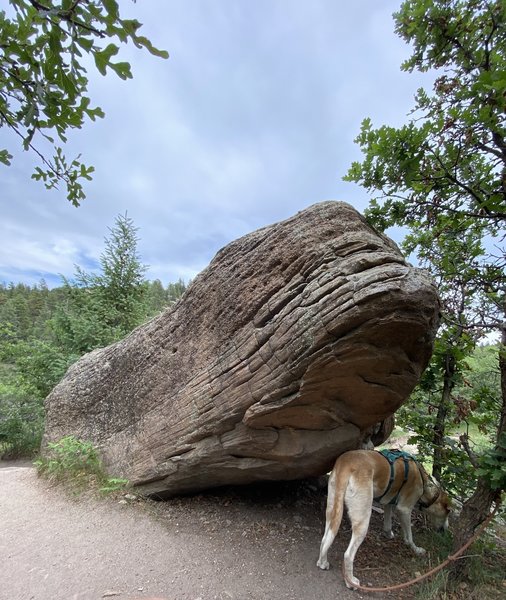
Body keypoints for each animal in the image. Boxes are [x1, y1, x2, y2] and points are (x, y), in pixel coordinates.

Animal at [316, 450, 450, 584]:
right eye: (447, 513)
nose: (445, 530)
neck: (423, 479)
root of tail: (346, 463)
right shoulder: (404, 509)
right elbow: (409, 536)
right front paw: (415, 549)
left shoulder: (389, 503)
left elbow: (388, 523)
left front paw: (388, 534)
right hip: (363, 519)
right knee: (348, 555)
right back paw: (351, 582)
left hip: (332, 509)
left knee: (325, 539)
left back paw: (323, 562)